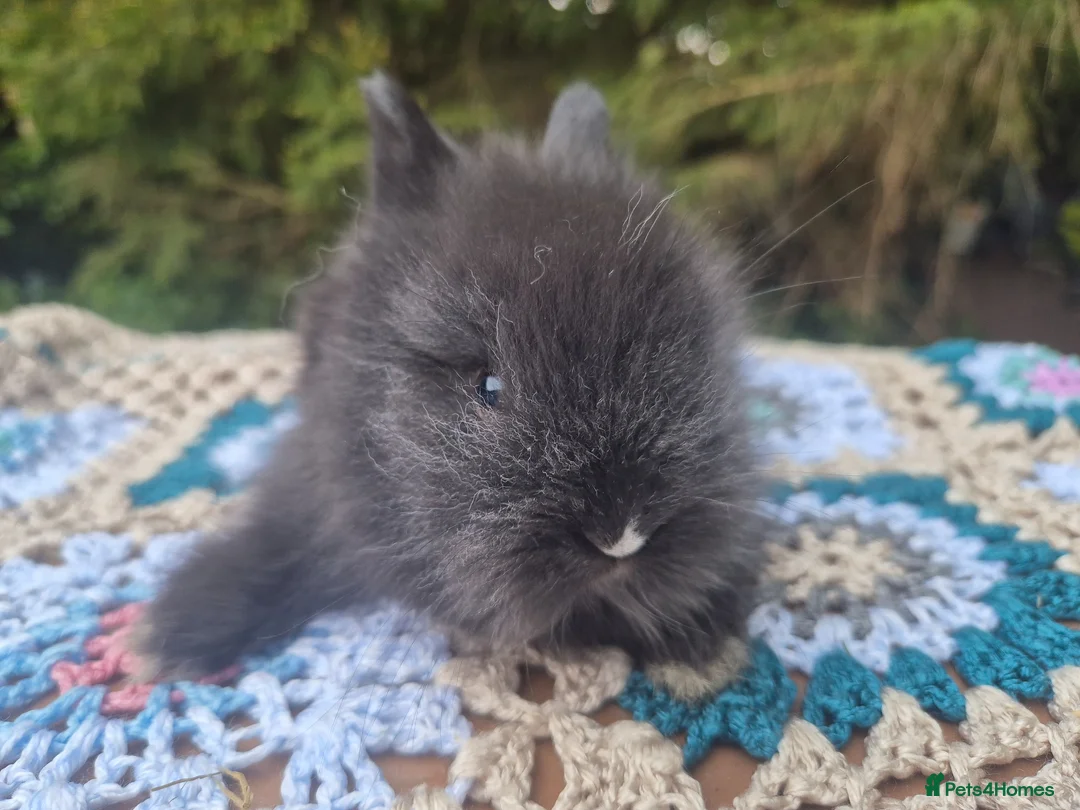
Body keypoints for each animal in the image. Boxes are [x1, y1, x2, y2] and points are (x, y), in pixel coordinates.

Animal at [133, 73, 764, 701]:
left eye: (689, 357)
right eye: (488, 386)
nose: (621, 536)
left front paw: (703, 645)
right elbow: (274, 546)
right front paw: (168, 636)